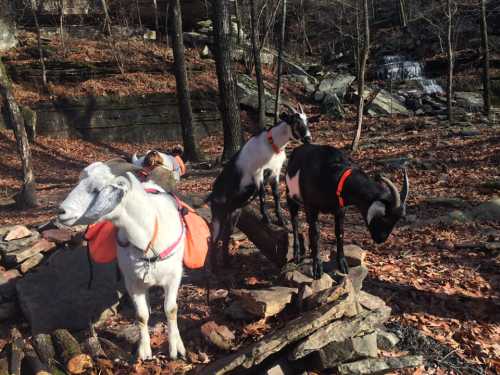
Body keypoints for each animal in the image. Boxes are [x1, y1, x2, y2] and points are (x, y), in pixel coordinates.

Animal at [57, 162, 186, 362]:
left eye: (97, 189)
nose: (61, 211)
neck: (149, 237)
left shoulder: (174, 277)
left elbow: (171, 309)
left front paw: (175, 348)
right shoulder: (132, 282)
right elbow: (141, 315)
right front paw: (144, 351)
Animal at [288, 144, 408, 280]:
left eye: (397, 220)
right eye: (384, 217)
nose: (381, 239)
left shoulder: (340, 210)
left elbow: (340, 233)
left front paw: (342, 264)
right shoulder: (312, 208)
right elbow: (315, 235)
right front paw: (317, 268)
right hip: (291, 197)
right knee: (295, 222)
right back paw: (297, 254)